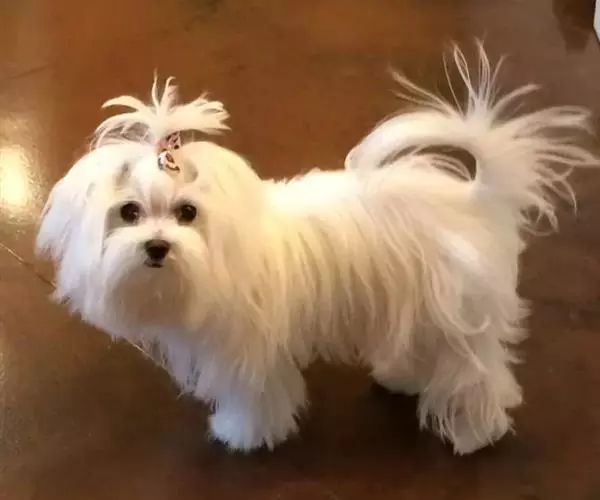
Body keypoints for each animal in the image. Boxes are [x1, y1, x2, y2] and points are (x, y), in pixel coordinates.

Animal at [35, 43, 597, 455]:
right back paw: (401, 378)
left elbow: (254, 397)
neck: (215, 258)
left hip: (456, 316)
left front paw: (242, 435)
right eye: (129, 212)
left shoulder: (248, 354)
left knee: (480, 379)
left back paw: (472, 435)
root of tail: (473, 199)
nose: (156, 246)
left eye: (187, 213)